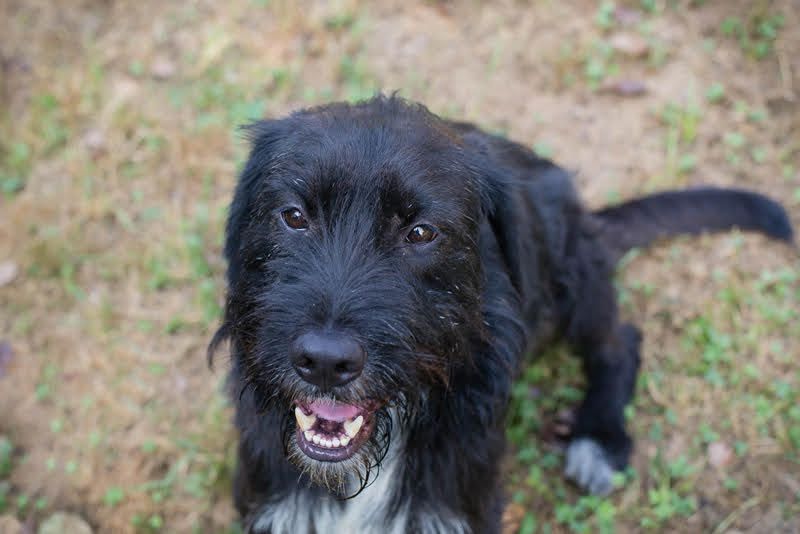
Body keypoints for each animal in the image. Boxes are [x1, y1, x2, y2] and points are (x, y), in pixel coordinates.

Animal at [209, 96, 794, 533]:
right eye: (293, 216)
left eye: (421, 232)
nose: (325, 362)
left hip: (570, 279)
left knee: (620, 341)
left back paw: (599, 439)